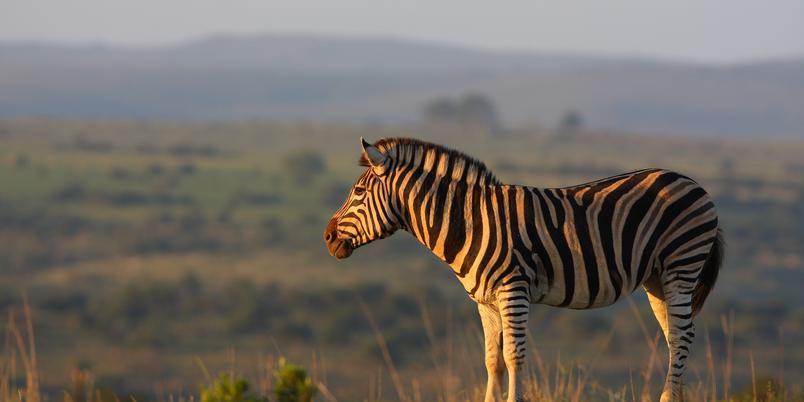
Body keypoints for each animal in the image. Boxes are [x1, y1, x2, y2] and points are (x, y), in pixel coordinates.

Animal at [324, 137, 723, 402]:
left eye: (358, 193)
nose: (327, 238)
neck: (468, 223)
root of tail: (692, 182)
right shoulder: (484, 301)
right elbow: (492, 361)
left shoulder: (512, 290)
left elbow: (514, 356)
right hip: (656, 278)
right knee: (674, 337)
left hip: (680, 266)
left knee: (683, 336)